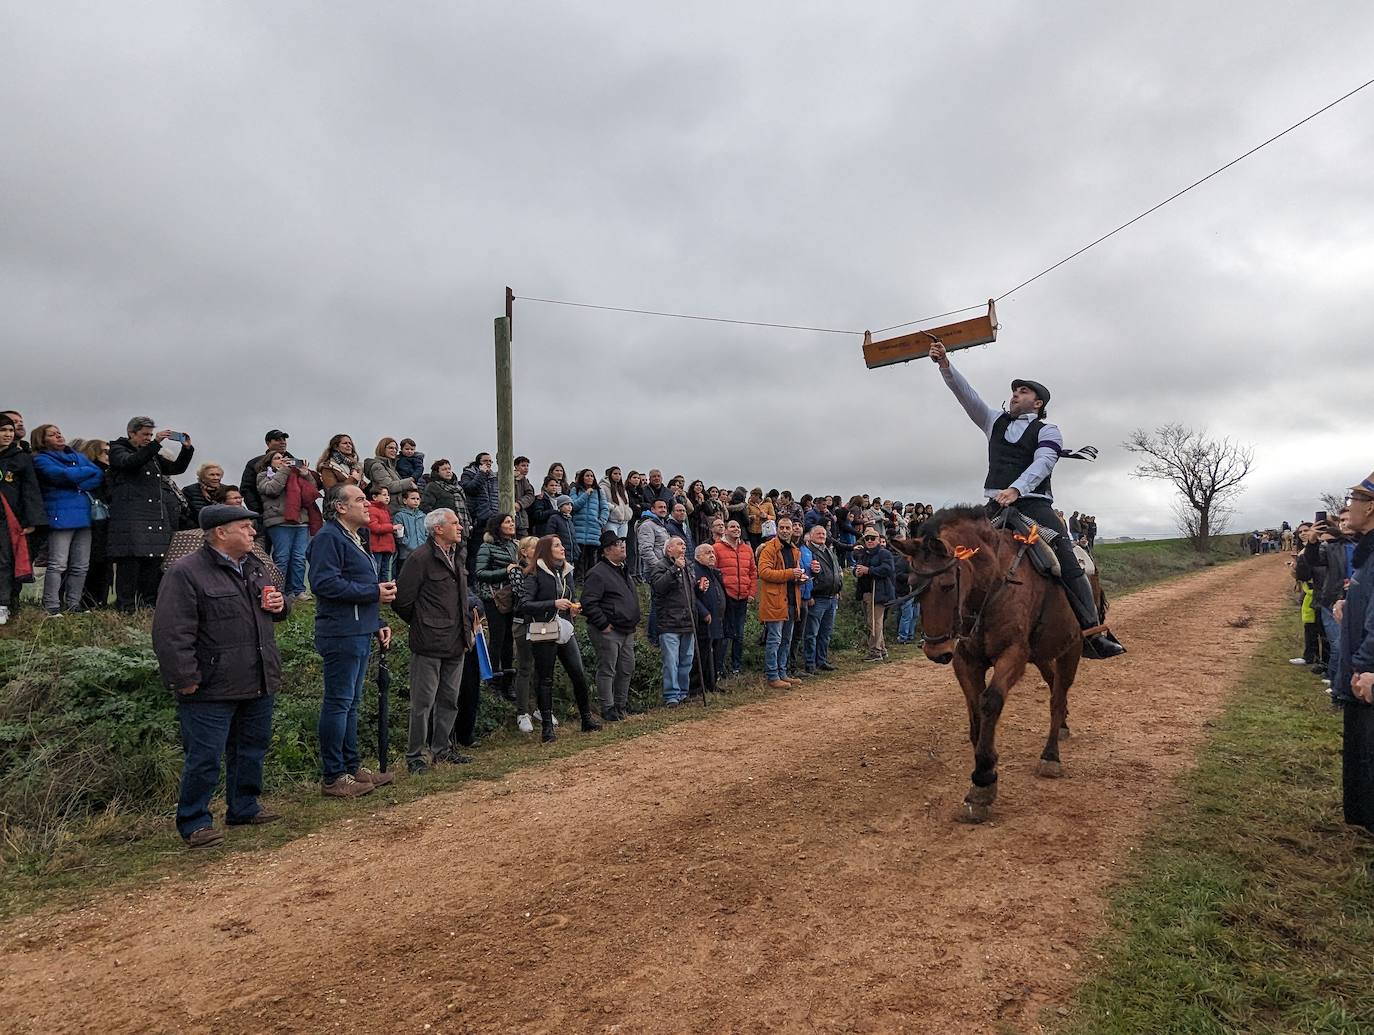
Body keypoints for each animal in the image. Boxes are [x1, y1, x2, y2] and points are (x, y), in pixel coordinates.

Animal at [890, 503, 1093, 824]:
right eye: (913, 585)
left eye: (948, 585)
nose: (937, 651)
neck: (994, 584)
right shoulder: (966, 661)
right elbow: (975, 711)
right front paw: (983, 776)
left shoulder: (1012, 655)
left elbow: (990, 702)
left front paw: (983, 781)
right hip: (1042, 654)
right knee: (1053, 688)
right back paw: (1062, 725)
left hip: (1070, 649)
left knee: (1058, 696)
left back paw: (1051, 755)